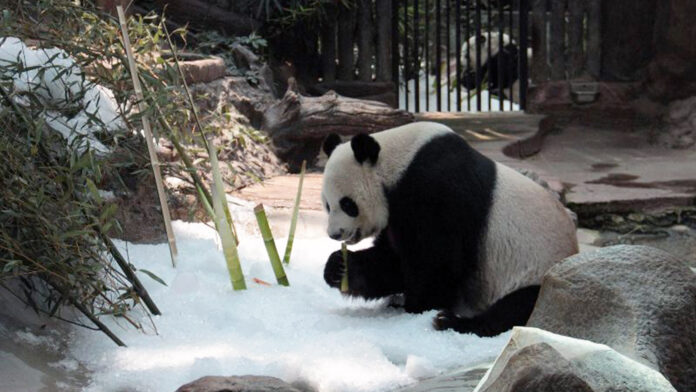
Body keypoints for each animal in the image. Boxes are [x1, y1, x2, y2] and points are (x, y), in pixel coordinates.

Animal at [320, 122, 576, 336]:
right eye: (327, 205)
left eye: (348, 204)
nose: (335, 234)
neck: (397, 165)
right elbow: (391, 260)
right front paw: (339, 267)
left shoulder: (437, 191)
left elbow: (436, 261)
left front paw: (418, 308)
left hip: (536, 270)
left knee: (522, 306)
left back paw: (452, 322)